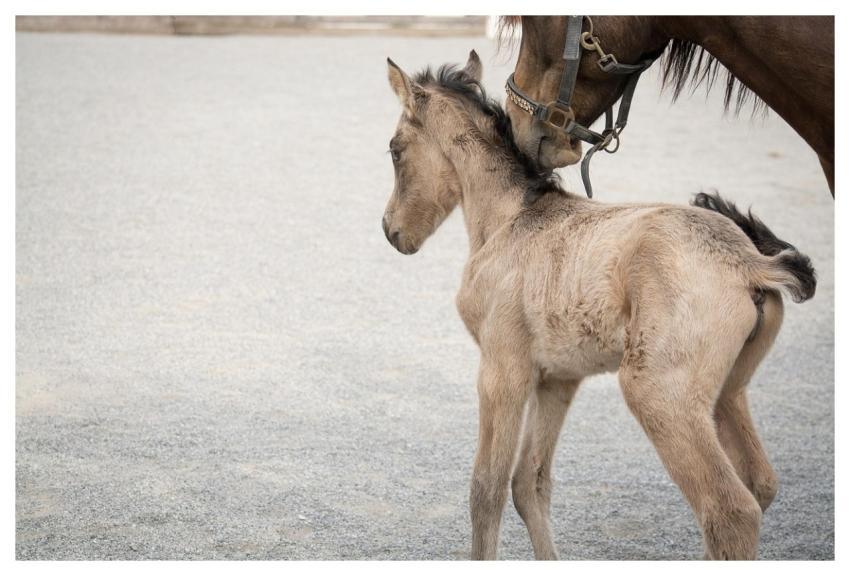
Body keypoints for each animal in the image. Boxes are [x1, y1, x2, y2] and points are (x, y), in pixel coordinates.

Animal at [380, 51, 816, 560]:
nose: (391, 231)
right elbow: (529, 483)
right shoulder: (557, 379)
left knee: (730, 509)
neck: (511, 218)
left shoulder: (502, 370)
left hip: (659, 391)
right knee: (758, 483)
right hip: (728, 391)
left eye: (394, 149)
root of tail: (750, 262)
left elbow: (485, 488)